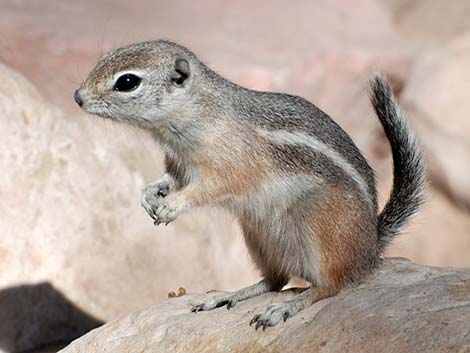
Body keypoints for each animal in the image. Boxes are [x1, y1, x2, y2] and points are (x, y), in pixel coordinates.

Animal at [73, 40, 426, 328]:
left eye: (127, 81)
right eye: (103, 58)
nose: (77, 97)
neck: (197, 114)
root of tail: (371, 248)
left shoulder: (226, 169)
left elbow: (207, 189)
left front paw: (173, 205)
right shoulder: (178, 165)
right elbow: (169, 180)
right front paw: (148, 194)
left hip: (322, 229)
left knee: (330, 285)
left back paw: (285, 308)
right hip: (258, 235)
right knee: (275, 280)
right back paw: (226, 296)